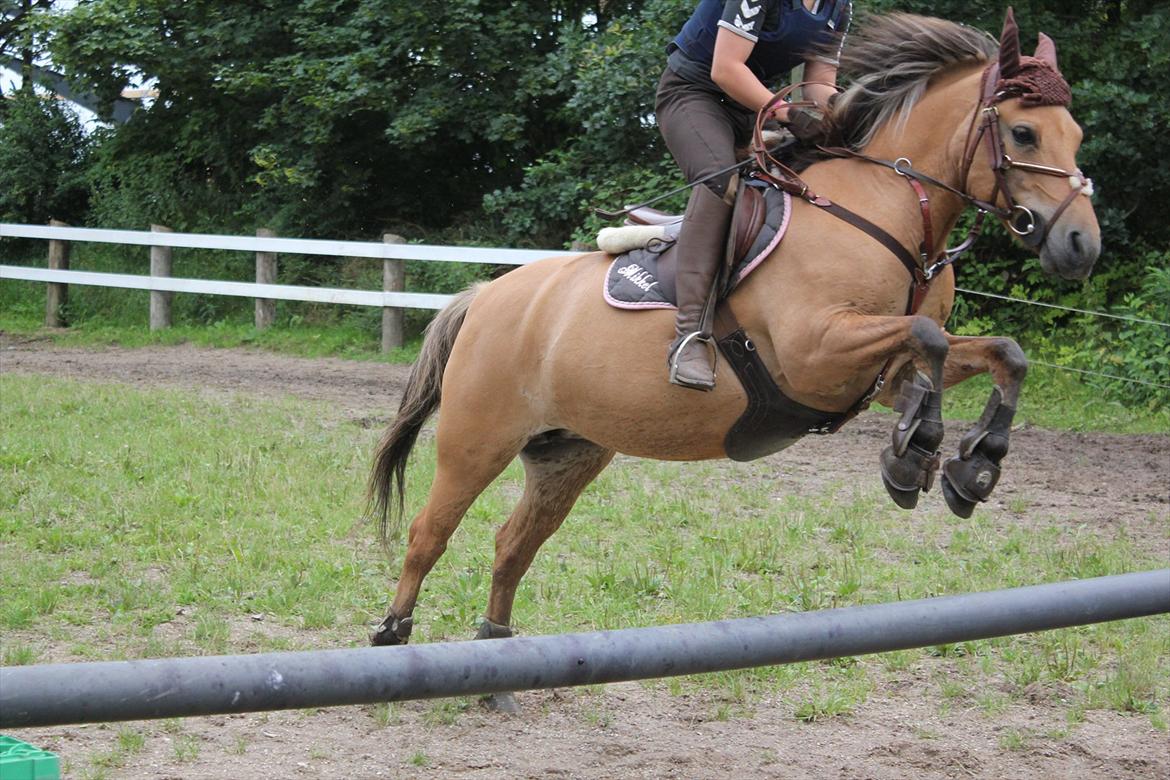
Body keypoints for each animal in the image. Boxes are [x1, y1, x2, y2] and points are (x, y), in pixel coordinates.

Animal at [362, 10, 1095, 682]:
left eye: (1077, 135)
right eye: (1023, 131)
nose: (1081, 246)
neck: (887, 210)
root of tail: (487, 295)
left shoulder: (872, 372)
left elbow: (996, 352)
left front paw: (967, 465)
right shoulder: (813, 352)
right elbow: (928, 337)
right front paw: (916, 457)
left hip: (568, 451)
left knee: (514, 544)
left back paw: (497, 661)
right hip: (477, 439)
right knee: (428, 533)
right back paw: (392, 636)